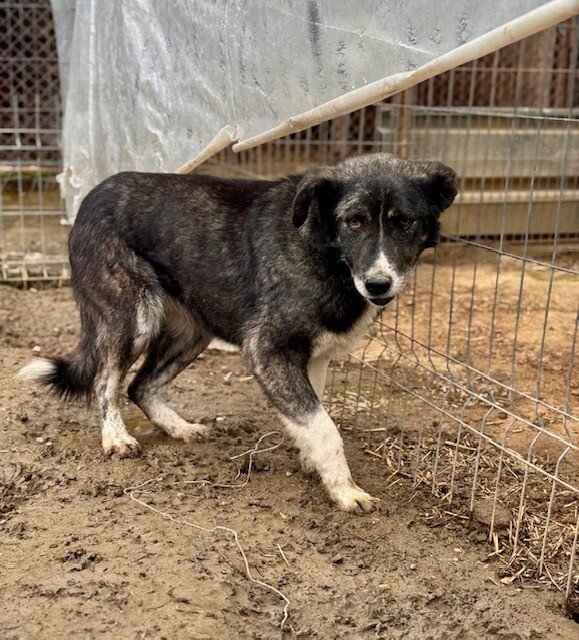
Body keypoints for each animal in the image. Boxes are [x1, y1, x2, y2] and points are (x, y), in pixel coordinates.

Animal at [18, 153, 457, 512]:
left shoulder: (313, 357)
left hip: (192, 332)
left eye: (404, 222)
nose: (378, 284)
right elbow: (323, 426)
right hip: (132, 319)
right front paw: (345, 490)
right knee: (107, 382)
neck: (324, 253)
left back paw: (178, 428)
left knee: (141, 385)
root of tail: (91, 196)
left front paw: (314, 465)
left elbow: (314, 415)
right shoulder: (267, 349)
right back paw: (115, 438)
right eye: (354, 221)